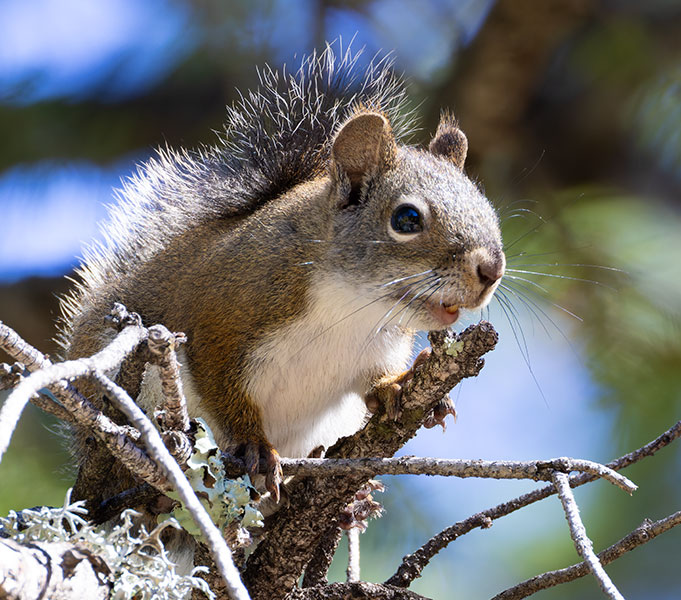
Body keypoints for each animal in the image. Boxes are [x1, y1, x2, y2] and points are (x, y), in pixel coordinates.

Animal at [59, 47, 505, 504]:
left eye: (487, 208)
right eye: (407, 218)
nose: (492, 270)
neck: (351, 306)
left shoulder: (378, 349)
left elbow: (375, 382)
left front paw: (397, 385)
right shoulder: (218, 322)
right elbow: (222, 388)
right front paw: (254, 445)